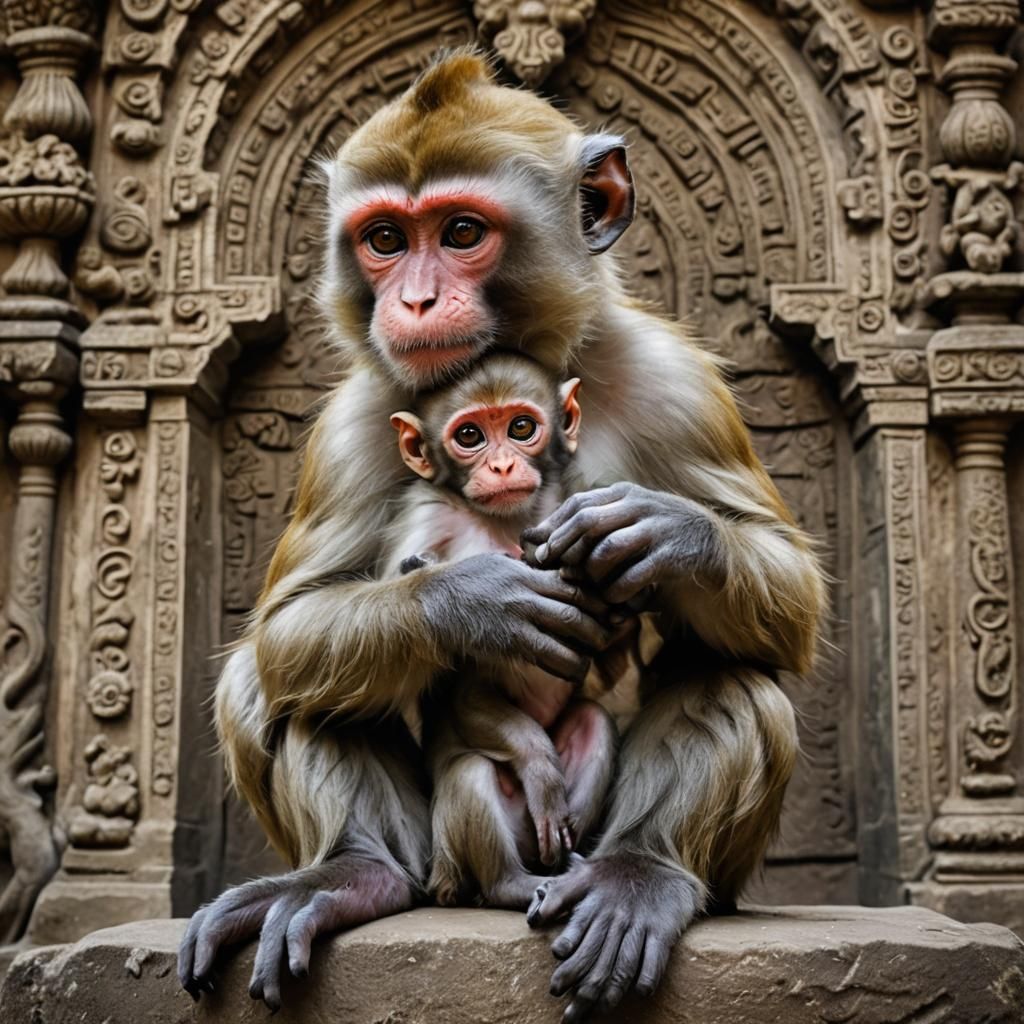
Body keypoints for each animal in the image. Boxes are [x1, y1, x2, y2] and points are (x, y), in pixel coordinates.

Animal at [385, 351, 622, 910]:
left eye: (520, 428)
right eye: (470, 435)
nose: (501, 466)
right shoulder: (428, 514)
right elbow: (462, 693)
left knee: (593, 722)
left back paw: (567, 865)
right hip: (453, 860)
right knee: (474, 774)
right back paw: (514, 884)